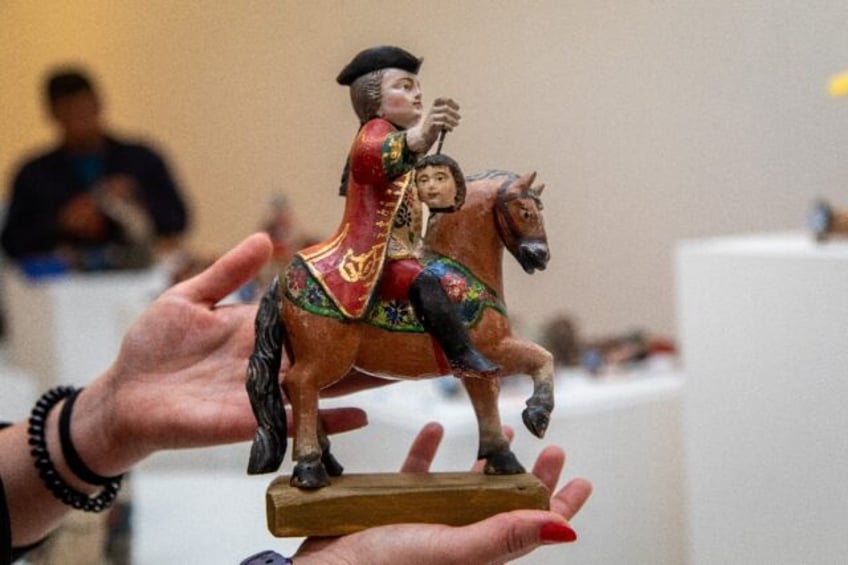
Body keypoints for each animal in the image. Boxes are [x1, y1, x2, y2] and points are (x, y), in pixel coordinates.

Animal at [245, 170, 556, 486]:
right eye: (526, 211)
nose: (541, 256)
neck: (462, 266)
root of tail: (282, 281)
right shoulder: (493, 348)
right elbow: (543, 358)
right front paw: (537, 415)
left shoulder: (478, 367)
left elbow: (487, 401)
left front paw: (501, 456)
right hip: (326, 358)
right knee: (300, 385)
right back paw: (310, 467)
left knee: (304, 393)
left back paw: (327, 461)